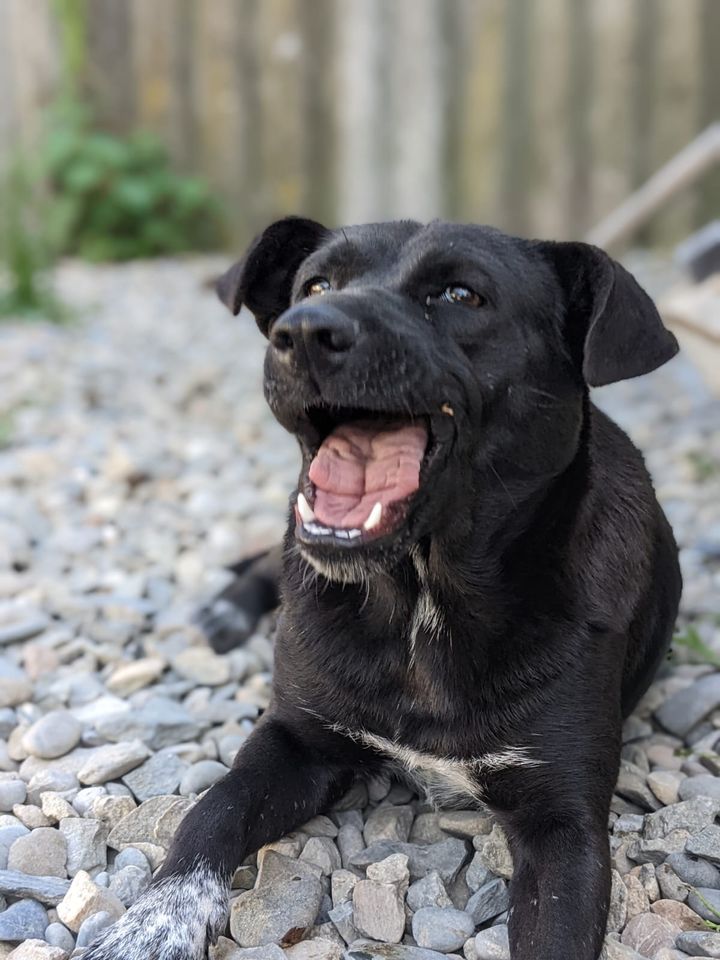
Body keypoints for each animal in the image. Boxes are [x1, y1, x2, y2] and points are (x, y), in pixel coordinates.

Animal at [84, 218, 680, 960]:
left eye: (460, 294)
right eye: (315, 285)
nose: (304, 331)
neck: (420, 600)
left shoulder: (566, 824)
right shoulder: (296, 738)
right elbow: (212, 810)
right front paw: (151, 924)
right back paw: (224, 611)